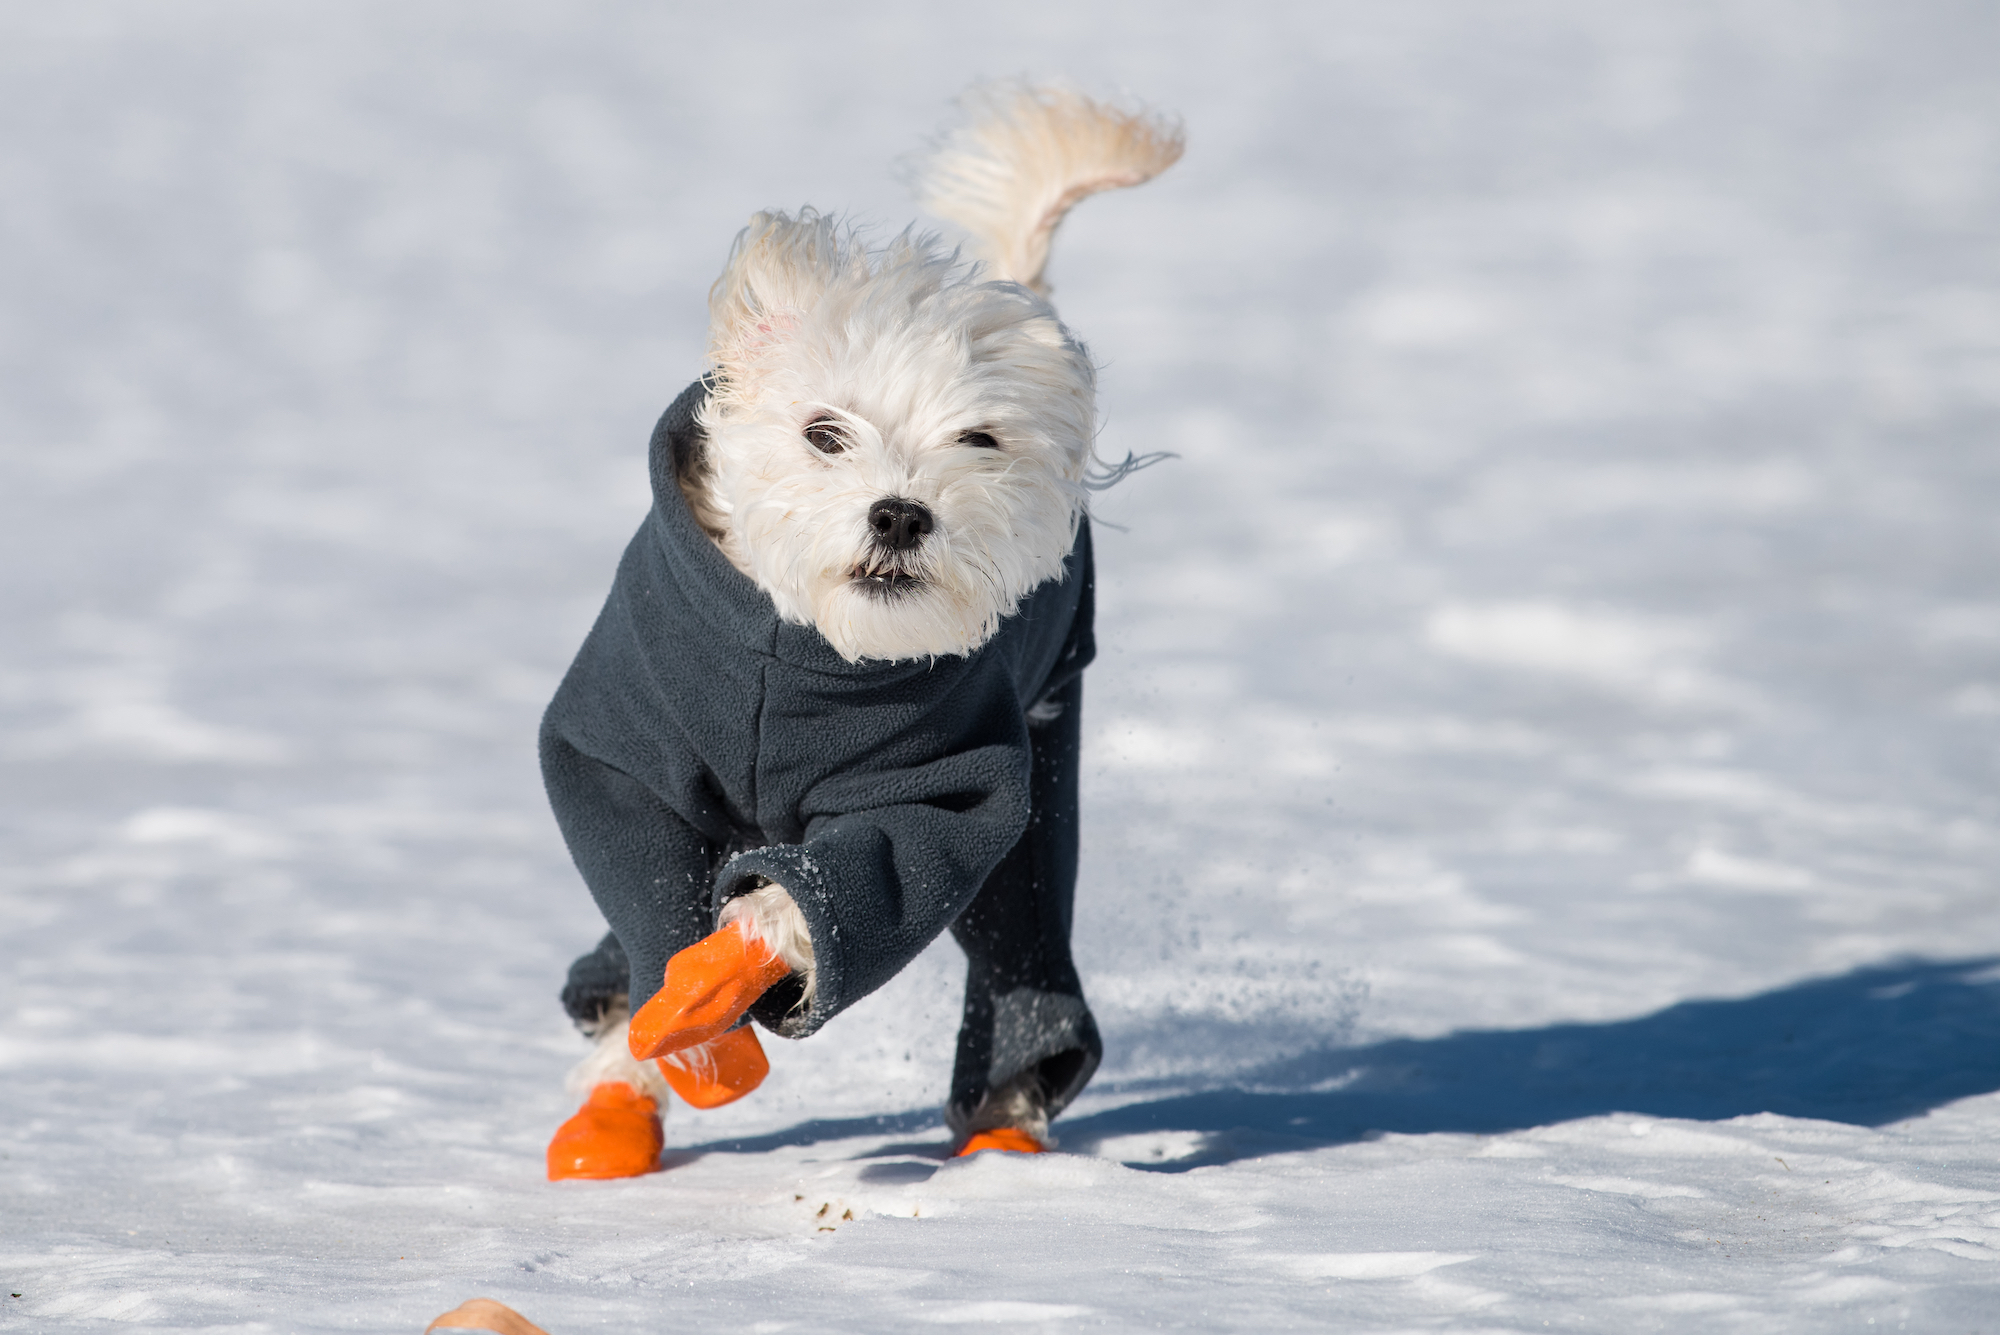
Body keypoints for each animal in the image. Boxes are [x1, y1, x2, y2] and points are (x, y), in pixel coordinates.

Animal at [540, 85, 1176, 1175]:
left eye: (979, 440)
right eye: (823, 432)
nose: (900, 515)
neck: (799, 658)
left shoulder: (944, 790)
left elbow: (837, 890)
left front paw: (733, 967)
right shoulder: (624, 751)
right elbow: (643, 889)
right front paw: (667, 1053)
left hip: (1045, 761)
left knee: (1021, 945)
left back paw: (1006, 1130)